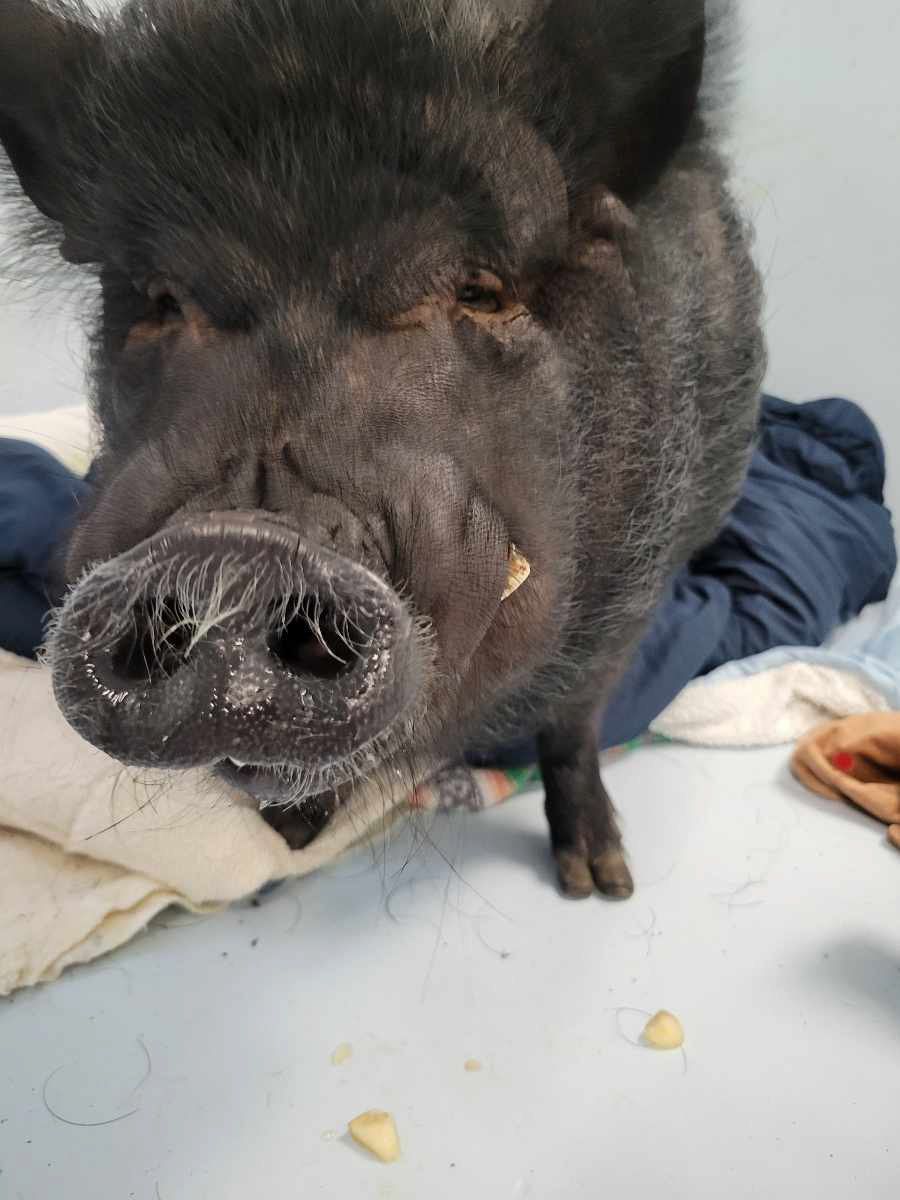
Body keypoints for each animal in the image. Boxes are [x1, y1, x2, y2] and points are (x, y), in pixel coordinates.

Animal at [0, 0, 764, 897]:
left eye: (480, 291)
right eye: (159, 301)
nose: (242, 546)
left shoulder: (635, 593)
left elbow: (574, 723)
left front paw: (598, 884)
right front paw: (293, 837)